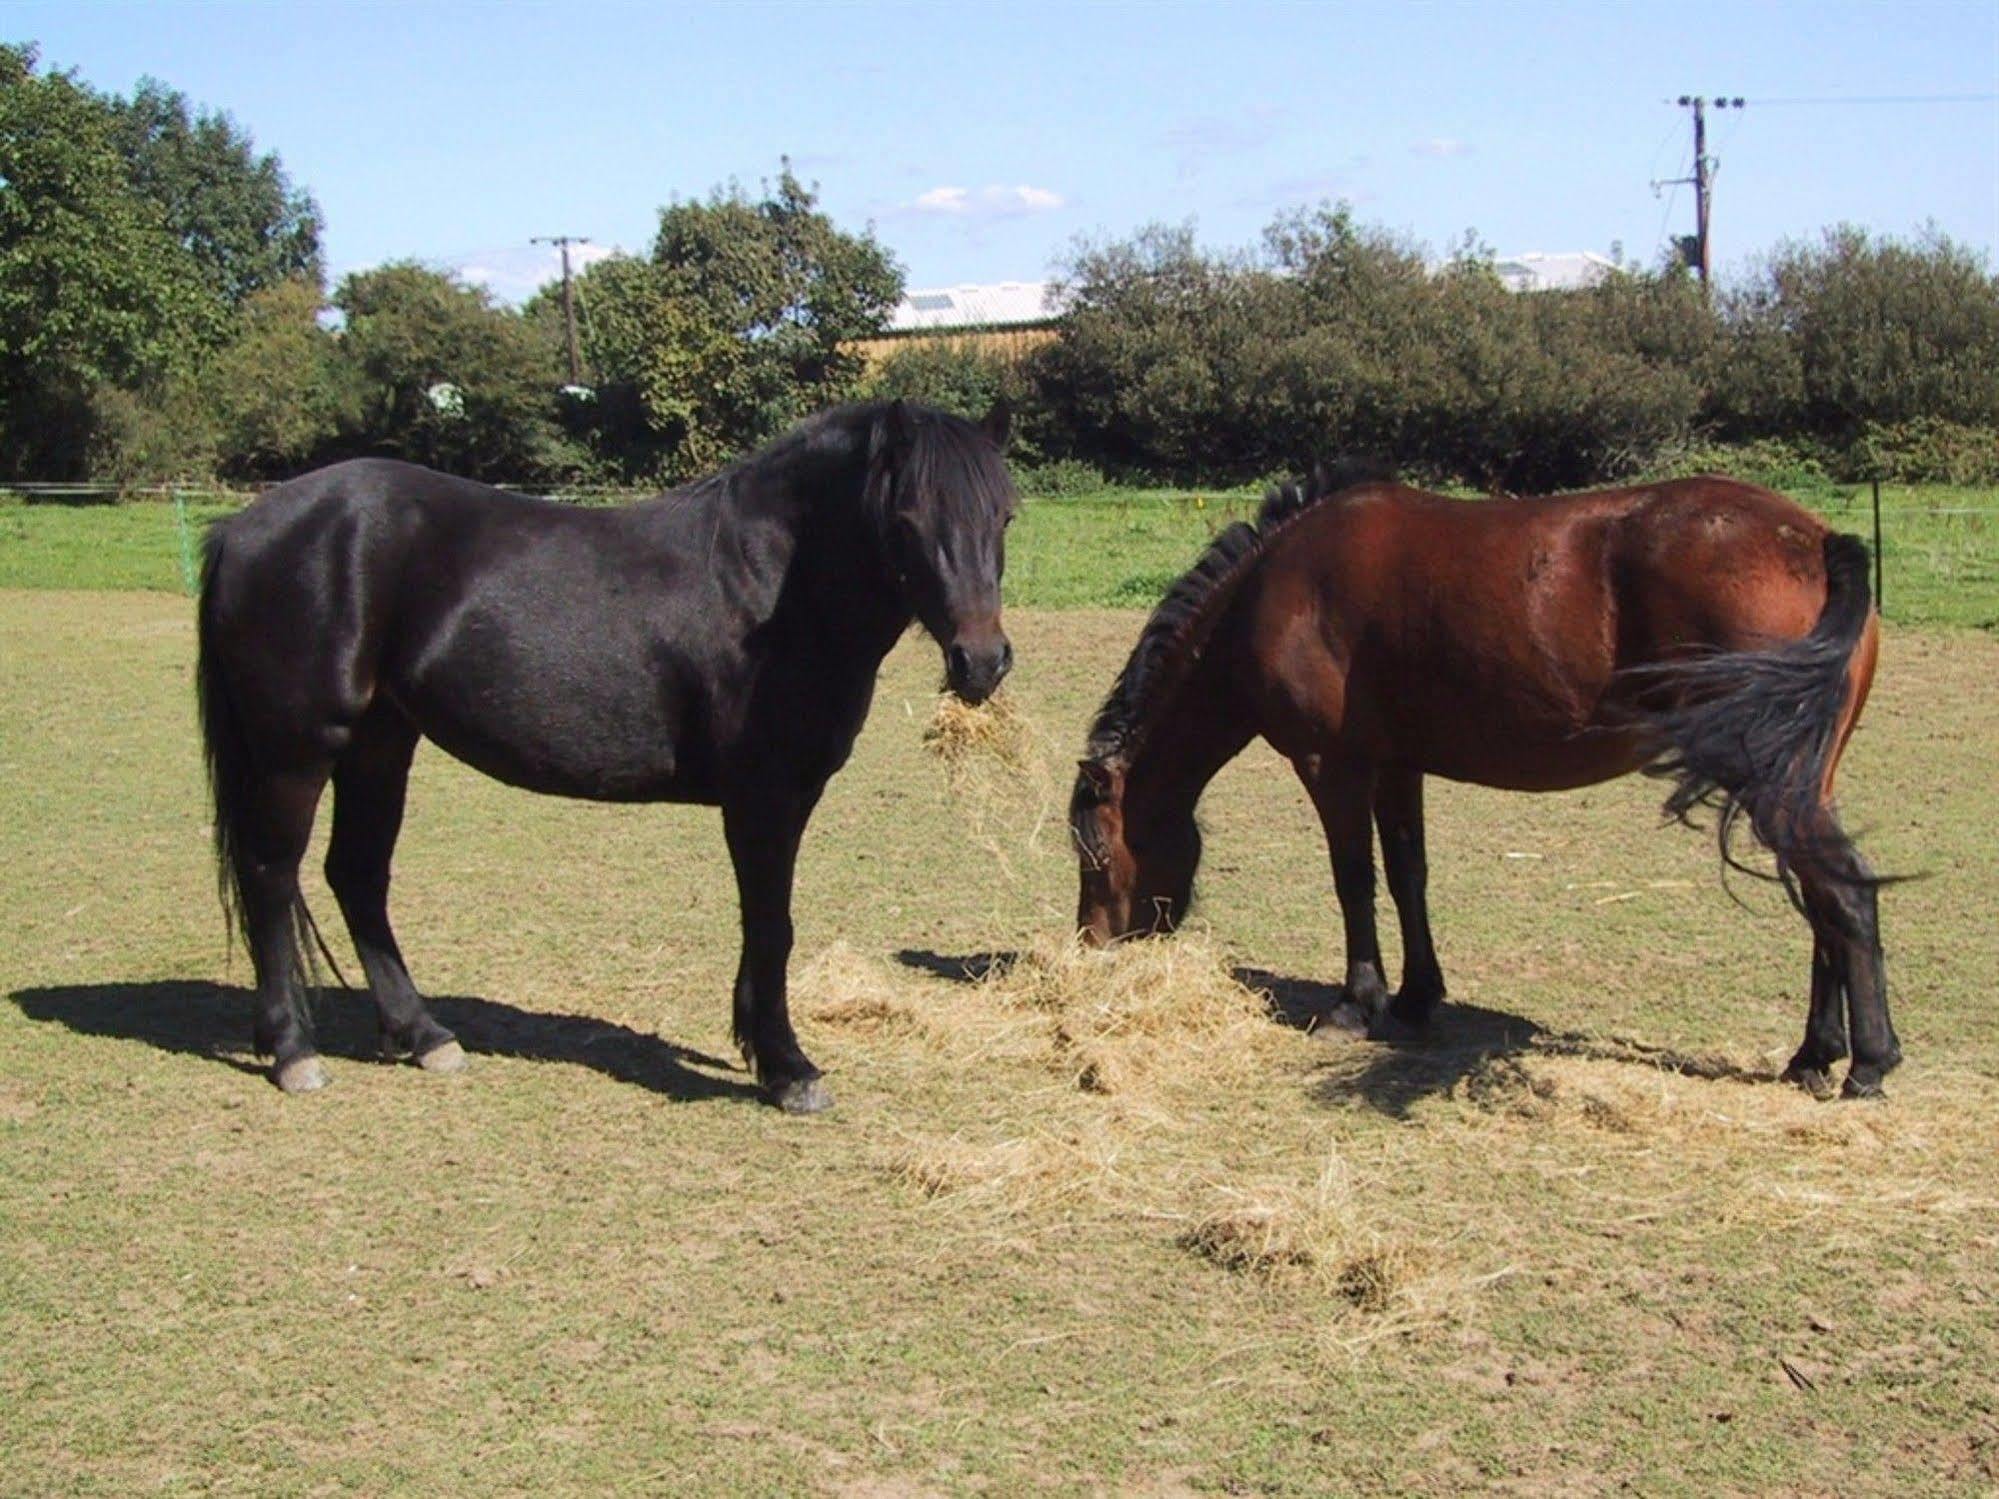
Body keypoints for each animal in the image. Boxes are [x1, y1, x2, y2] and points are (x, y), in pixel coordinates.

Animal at [198, 399, 1015, 1119]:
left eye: (1003, 517)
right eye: (907, 519)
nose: (981, 662)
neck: (771, 587)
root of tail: (243, 527)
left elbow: (761, 923)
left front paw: (757, 1049)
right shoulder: (765, 797)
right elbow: (770, 924)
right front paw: (788, 1069)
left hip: (380, 744)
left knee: (358, 875)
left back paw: (424, 1036)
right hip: (298, 751)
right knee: (271, 875)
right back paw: (293, 1051)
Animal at [1071, 471, 1895, 1103]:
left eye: (1094, 853)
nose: (1093, 947)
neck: (1276, 588)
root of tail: (1815, 539)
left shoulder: (1331, 764)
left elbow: (1353, 879)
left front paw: (1356, 1003)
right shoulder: (1396, 765)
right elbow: (1407, 874)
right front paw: (1414, 996)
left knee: (1842, 892)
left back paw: (1869, 1063)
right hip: (1801, 777)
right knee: (1825, 897)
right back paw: (1814, 1055)